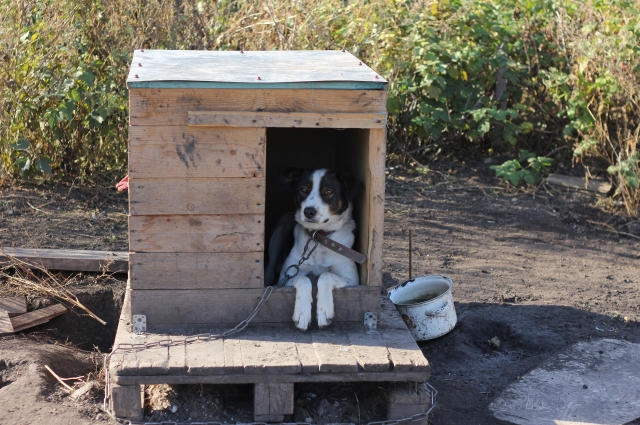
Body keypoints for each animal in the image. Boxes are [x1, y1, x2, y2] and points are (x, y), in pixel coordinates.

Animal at [266, 167, 364, 330]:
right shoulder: (285, 278)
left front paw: (324, 311)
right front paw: (302, 313)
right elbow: (303, 278)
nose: (309, 211)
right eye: (303, 189)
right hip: (279, 232)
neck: (319, 237)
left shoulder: (353, 280)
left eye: (329, 192)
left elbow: (325, 275)